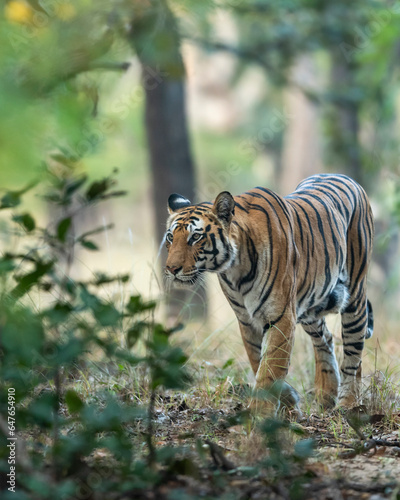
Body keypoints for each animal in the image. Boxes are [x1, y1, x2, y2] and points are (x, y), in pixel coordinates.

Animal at [164, 174, 374, 412]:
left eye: (195, 238)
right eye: (170, 237)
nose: (171, 269)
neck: (235, 269)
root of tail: (346, 177)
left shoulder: (281, 316)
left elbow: (271, 365)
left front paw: (260, 413)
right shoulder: (247, 319)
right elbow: (258, 362)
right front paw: (287, 400)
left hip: (354, 297)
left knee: (354, 353)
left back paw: (348, 404)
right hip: (310, 306)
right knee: (325, 339)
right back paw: (326, 397)